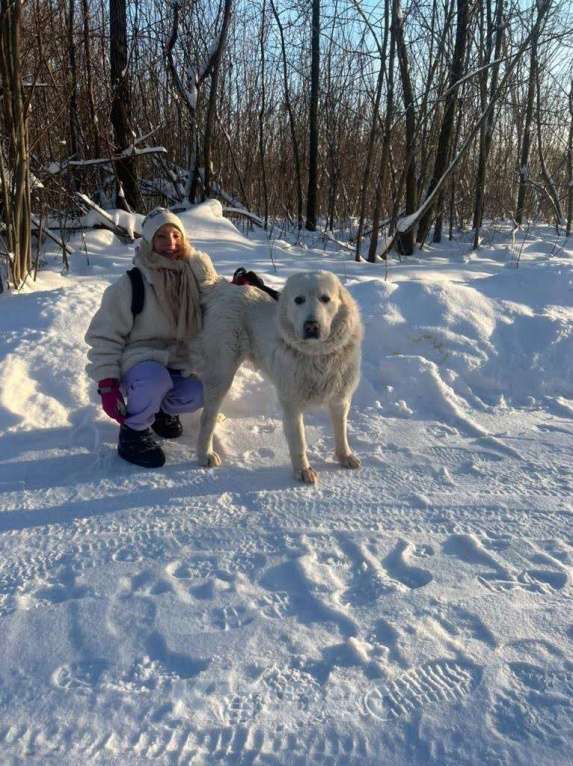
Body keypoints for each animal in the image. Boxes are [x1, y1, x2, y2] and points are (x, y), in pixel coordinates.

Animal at [192, 272, 362, 486]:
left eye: (325, 299)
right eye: (299, 300)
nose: (311, 326)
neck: (316, 355)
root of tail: (223, 286)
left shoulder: (340, 400)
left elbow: (341, 432)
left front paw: (344, 456)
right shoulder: (292, 406)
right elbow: (299, 442)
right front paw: (303, 470)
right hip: (222, 374)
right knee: (207, 417)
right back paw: (205, 454)